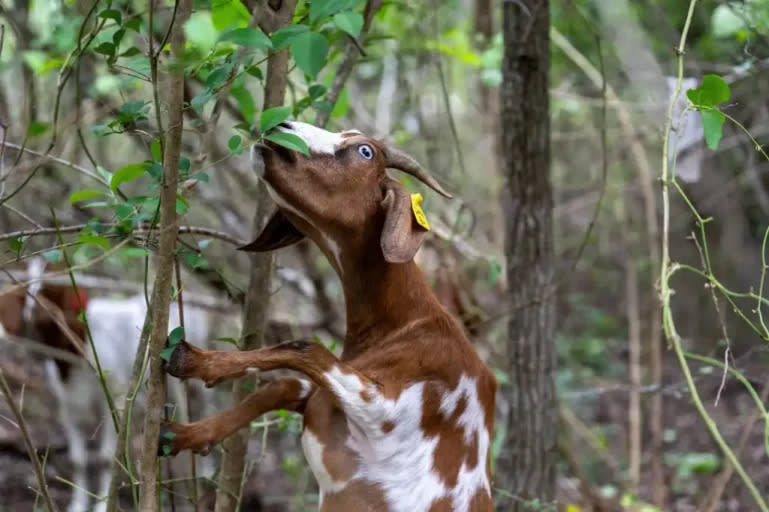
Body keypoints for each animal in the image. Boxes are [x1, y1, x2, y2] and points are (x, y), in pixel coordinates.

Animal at [160, 122, 498, 510]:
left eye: (366, 151)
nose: (280, 126)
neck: (406, 324)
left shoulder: (385, 410)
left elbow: (306, 348)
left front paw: (193, 361)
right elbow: (283, 384)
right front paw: (182, 435)